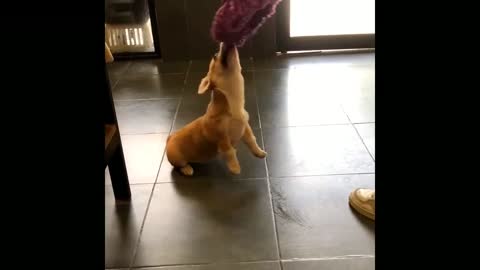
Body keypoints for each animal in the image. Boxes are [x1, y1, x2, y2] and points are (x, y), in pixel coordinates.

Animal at [166, 43, 266, 176]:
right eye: (215, 56)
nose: (222, 43)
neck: (233, 104)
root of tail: (169, 139)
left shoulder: (245, 127)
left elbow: (252, 140)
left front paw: (259, 153)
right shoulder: (222, 139)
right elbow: (229, 152)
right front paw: (235, 168)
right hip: (177, 159)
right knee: (179, 165)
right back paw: (187, 170)